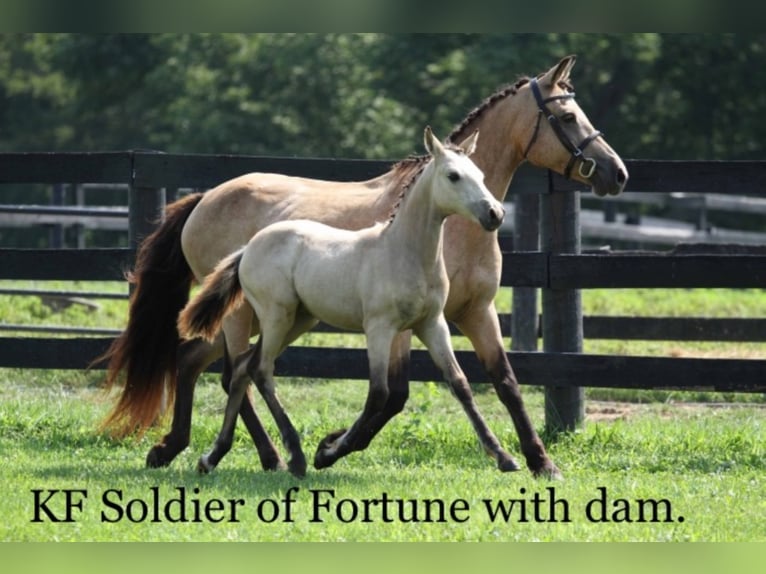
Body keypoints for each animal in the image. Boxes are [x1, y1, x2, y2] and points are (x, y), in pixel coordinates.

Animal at [99, 55, 632, 482]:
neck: (447, 231)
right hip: (244, 314)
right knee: (238, 372)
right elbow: (392, 395)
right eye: (567, 115)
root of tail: (204, 198)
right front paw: (331, 447)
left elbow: (504, 382)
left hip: (274, 318)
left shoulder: (473, 313)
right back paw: (271, 455)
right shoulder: (397, 327)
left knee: (202, 361)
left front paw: (541, 462)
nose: (617, 173)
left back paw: (177, 448)